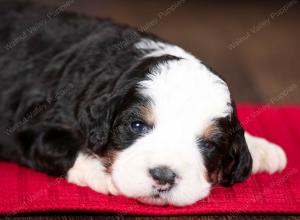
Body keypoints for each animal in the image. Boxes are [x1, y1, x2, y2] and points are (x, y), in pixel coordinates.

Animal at [0, 1, 286, 206]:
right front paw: (104, 173)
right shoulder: (32, 127)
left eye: (209, 145)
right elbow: (67, 147)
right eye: (137, 126)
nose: (163, 177)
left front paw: (261, 148)